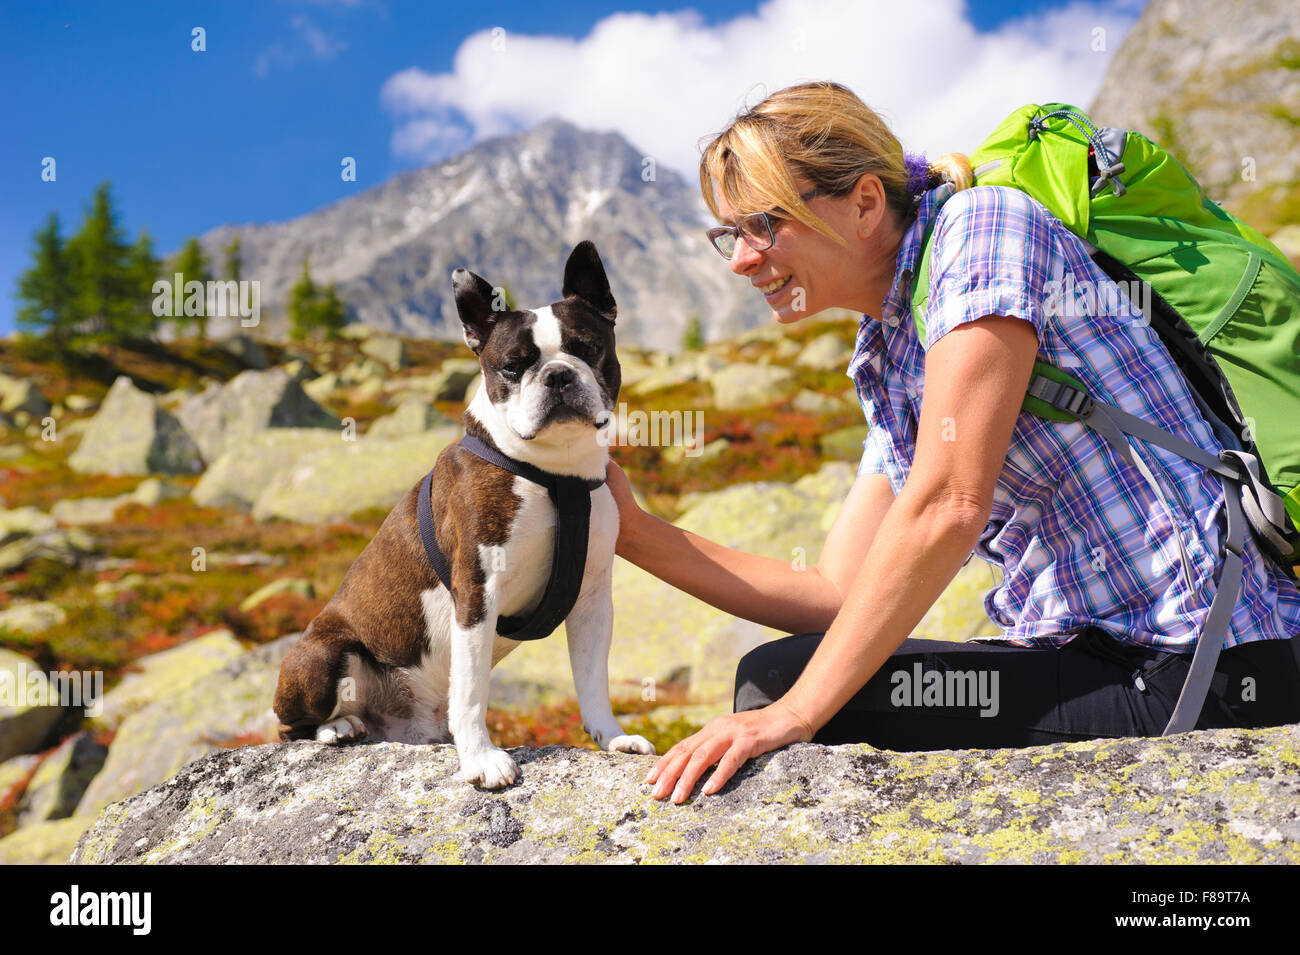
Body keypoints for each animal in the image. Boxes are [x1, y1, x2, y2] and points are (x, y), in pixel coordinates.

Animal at [278, 242, 655, 789]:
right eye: (513, 366)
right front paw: (481, 759)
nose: (558, 374)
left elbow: (591, 679)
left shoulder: (590, 600)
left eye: (587, 348)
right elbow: (474, 692)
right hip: (322, 655)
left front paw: (613, 738)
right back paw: (338, 727)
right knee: (291, 728)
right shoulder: (477, 590)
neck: (557, 474)